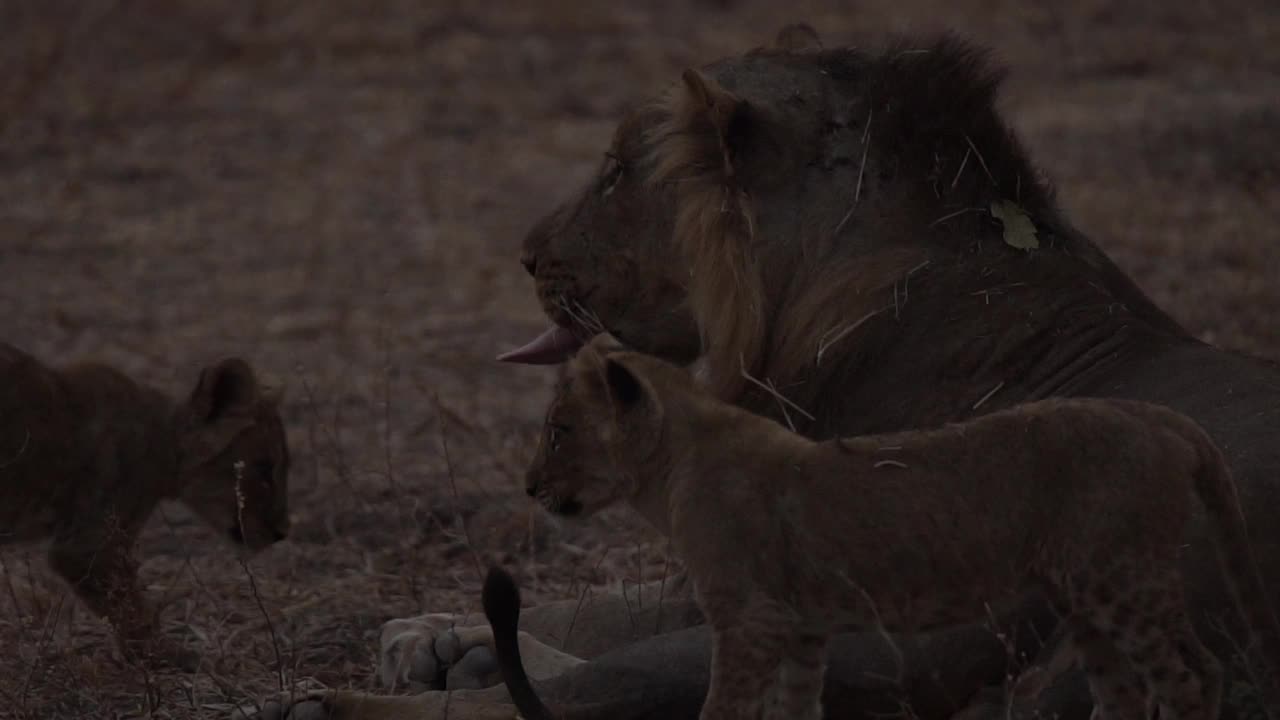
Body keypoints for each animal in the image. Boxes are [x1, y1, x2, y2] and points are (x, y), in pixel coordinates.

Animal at [0, 340, 290, 666]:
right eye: (264, 469)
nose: (282, 532)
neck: (165, 443)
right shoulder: (88, 547)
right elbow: (132, 610)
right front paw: (166, 654)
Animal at [512, 340, 1280, 717]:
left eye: (559, 430)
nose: (528, 486)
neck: (671, 467)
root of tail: (1159, 415)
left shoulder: (751, 620)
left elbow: (720, 709)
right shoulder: (801, 628)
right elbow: (796, 712)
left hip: (1118, 580)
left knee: (1189, 676)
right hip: (1092, 597)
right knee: (1139, 690)